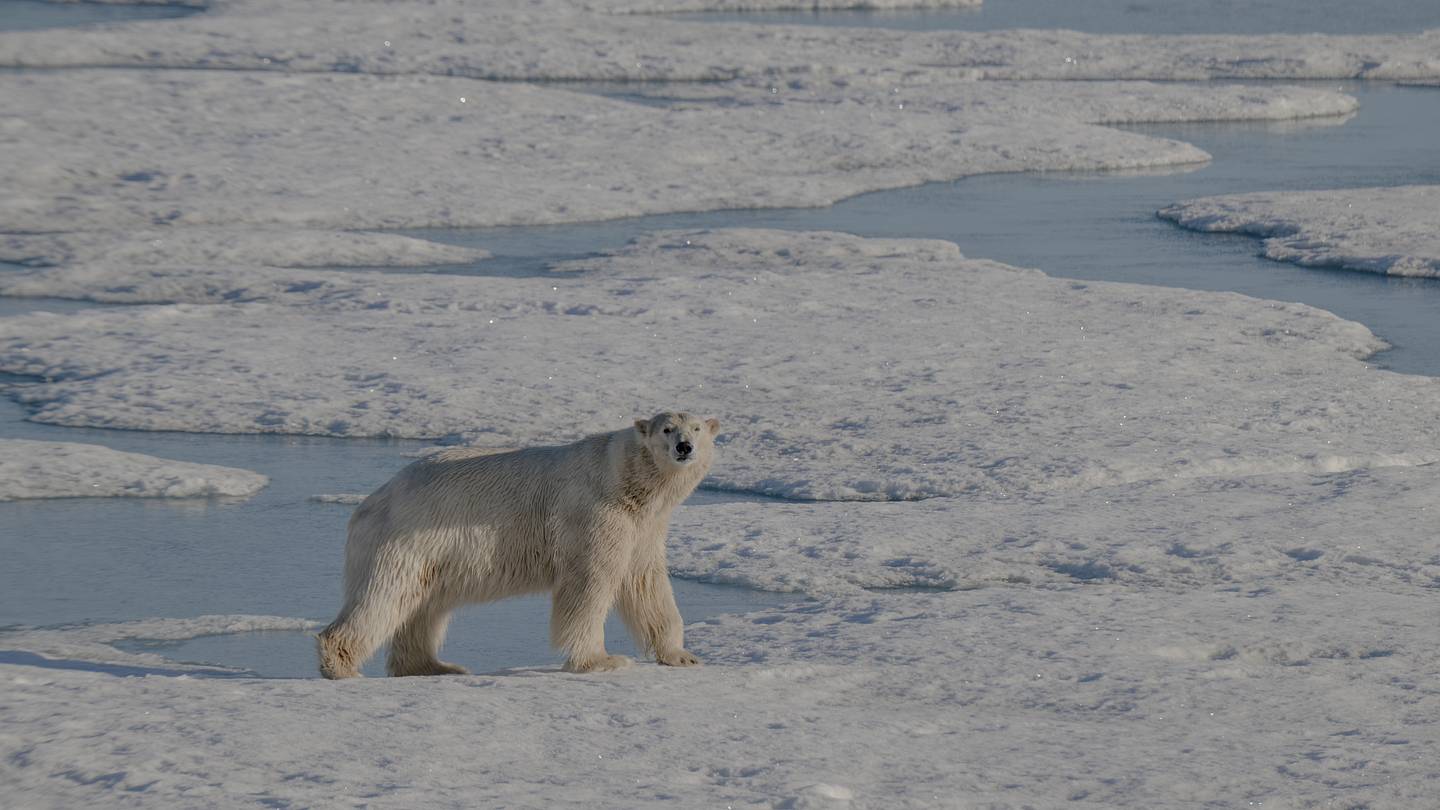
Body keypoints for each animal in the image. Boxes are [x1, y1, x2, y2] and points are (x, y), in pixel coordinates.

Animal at [317, 411, 720, 678]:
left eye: (697, 428)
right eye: (667, 429)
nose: (684, 447)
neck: (624, 480)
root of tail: (373, 501)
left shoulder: (643, 526)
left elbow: (646, 583)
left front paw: (683, 655)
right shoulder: (594, 514)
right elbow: (589, 584)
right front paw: (601, 660)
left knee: (422, 606)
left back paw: (436, 665)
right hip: (406, 538)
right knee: (384, 597)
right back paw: (342, 665)